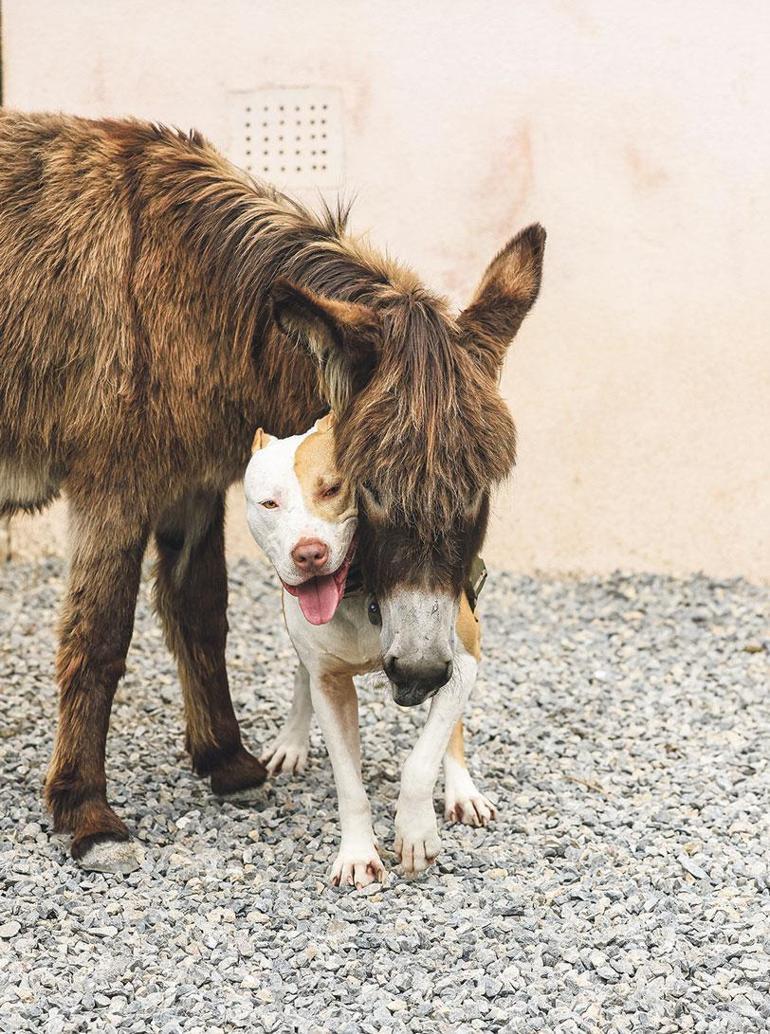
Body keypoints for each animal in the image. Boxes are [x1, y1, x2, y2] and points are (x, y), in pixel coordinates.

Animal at [245, 415, 498, 885]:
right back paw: (291, 741)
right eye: (269, 503)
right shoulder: (330, 685)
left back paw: (462, 791)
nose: (309, 553)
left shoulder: (461, 658)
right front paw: (357, 855)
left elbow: (420, 762)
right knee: (301, 675)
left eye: (332, 488)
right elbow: (349, 783)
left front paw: (416, 835)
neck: (362, 589)